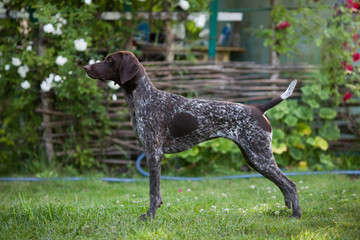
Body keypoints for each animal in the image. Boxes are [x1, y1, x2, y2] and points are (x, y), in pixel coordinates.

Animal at [84, 50, 300, 219]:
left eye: (109, 60)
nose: (86, 67)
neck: (143, 99)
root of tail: (258, 108)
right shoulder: (152, 154)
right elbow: (158, 193)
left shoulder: (153, 154)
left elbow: (153, 192)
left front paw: (150, 216)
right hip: (254, 158)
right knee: (283, 185)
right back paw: (284, 211)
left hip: (259, 157)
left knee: (291, 185)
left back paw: (295, 215)